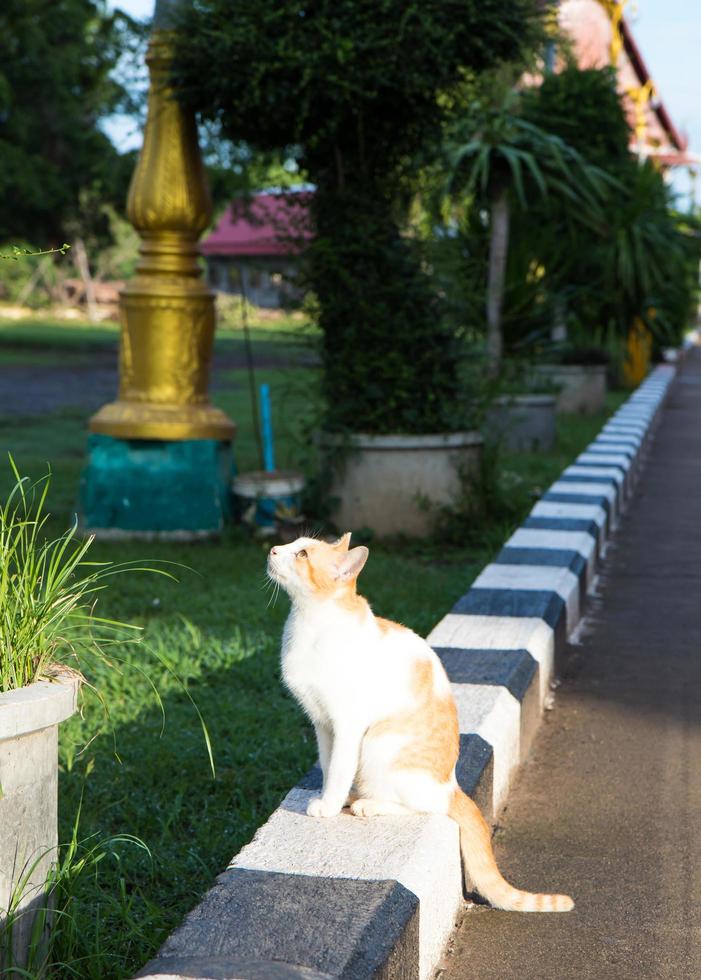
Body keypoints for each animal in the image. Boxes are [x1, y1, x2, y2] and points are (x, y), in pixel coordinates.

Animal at [266, 536, 572, 912]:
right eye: (293, 543)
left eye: (302, 554)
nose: (273, 549)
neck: (309, 623)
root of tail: (452, 786)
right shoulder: (322, 725)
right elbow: (329, 765)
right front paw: (331, 795)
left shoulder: (348, 726)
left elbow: (338, 768)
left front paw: (328, 805)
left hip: (378, 743)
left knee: (423, 806)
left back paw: (369, 804)